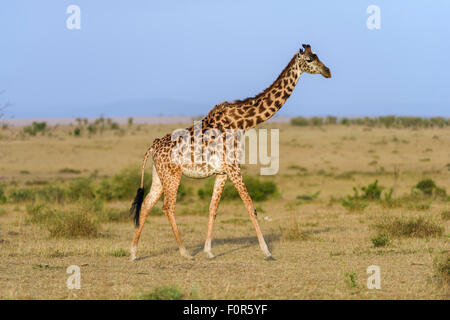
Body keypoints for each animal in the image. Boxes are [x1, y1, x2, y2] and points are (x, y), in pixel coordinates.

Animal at [129, 44, 330, 260]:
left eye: (317, 56)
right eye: (309, 60)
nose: (328, 71)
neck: (242, 123)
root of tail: (154, 145)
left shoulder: (222, 172)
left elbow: (213, 209)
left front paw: (209, 251)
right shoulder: (234, 167)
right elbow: (251, 206)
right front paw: (267, 251)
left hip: (159, 175)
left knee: (146, 205)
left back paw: (133, 252)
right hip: (172, 174)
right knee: (168, 207)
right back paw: (184, 252)